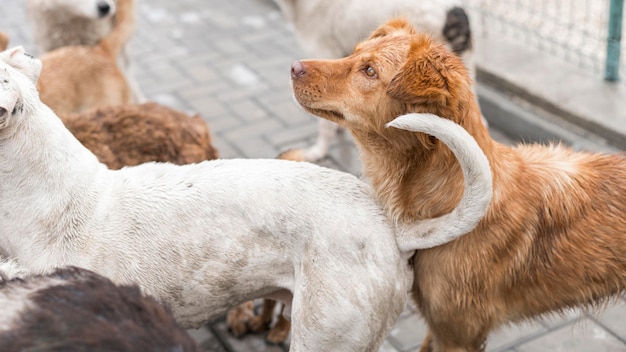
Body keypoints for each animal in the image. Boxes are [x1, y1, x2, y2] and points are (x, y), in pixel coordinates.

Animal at [288, 17, 624, 352]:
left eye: (370, 71)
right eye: (354, 53)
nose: (293, 66)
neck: (448, 201)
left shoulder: (458, 333)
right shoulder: (438, 325)